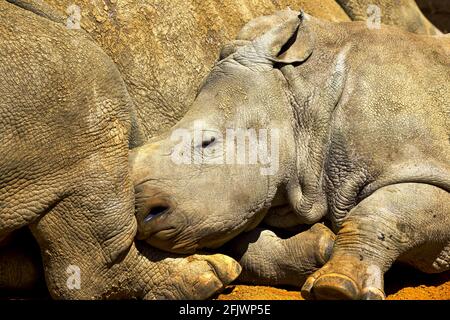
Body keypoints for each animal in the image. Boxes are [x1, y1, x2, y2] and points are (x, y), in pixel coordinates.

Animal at [131, 10, 450, 300]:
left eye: (207, 143)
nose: (142, 213)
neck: (304, 97)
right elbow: (244, 246)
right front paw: (322, 250)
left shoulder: (428, 164)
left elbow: (379, 212)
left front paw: (335, 288)